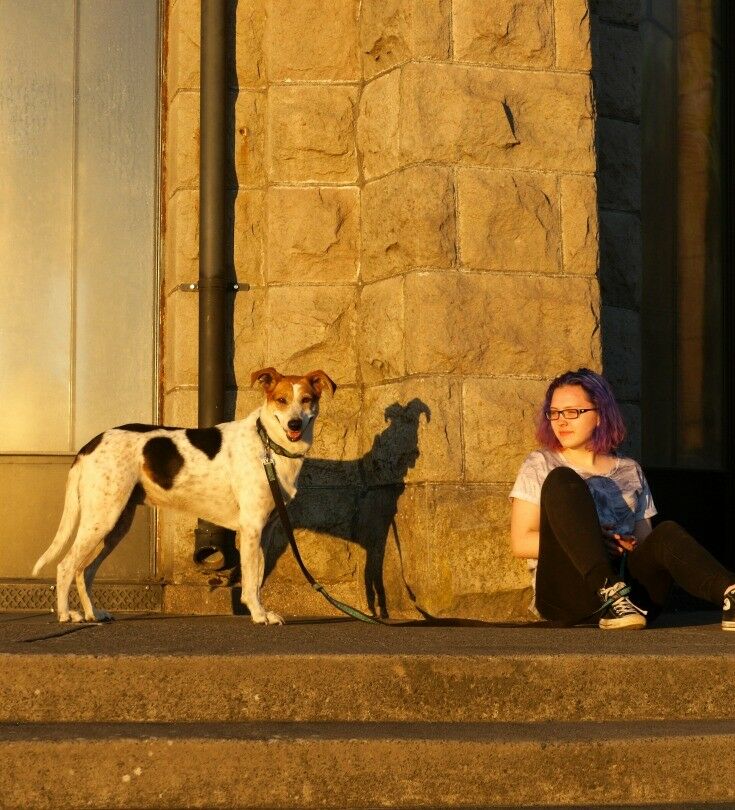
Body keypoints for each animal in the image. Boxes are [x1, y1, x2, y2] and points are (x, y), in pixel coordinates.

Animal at [31, 366, 336, 624]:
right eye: (281, 400)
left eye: (307, 400)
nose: (294, 424)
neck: (268, 445)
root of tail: (89, 444)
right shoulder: (251, 528)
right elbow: (250, 582)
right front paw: (259, 615)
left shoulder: (265, 530)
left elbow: (258, 576)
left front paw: (261, 611)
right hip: (101, 518)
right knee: (66, 566)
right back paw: (66, 615)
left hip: (116, 523)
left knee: (85, 570)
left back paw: (94, 613)